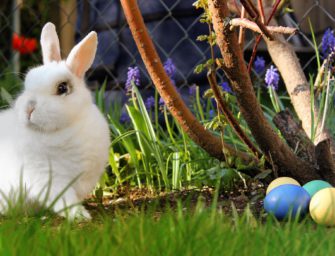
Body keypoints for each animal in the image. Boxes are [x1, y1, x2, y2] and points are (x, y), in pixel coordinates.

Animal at [0, 22, 111, 220]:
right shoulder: (49, 178)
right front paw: (80, 216)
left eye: (62, 88)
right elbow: (64, 200)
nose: (29, 108)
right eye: (27, 84)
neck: (64, 129)